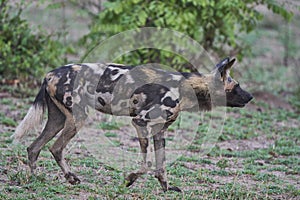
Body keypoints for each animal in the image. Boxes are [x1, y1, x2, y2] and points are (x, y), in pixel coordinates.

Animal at [12, 57, 252, 191]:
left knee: (34, 147)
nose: (250, 97)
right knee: (55, 148)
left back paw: (34, 180)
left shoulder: (159, 131)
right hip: (77, 119)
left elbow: (160, 166)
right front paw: (130, 179)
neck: (190, 88)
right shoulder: (140, 121)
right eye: (237, 86)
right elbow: (146, 164)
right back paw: (70, 178)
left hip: (58, 120)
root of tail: (49, 74)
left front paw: (166, 188)